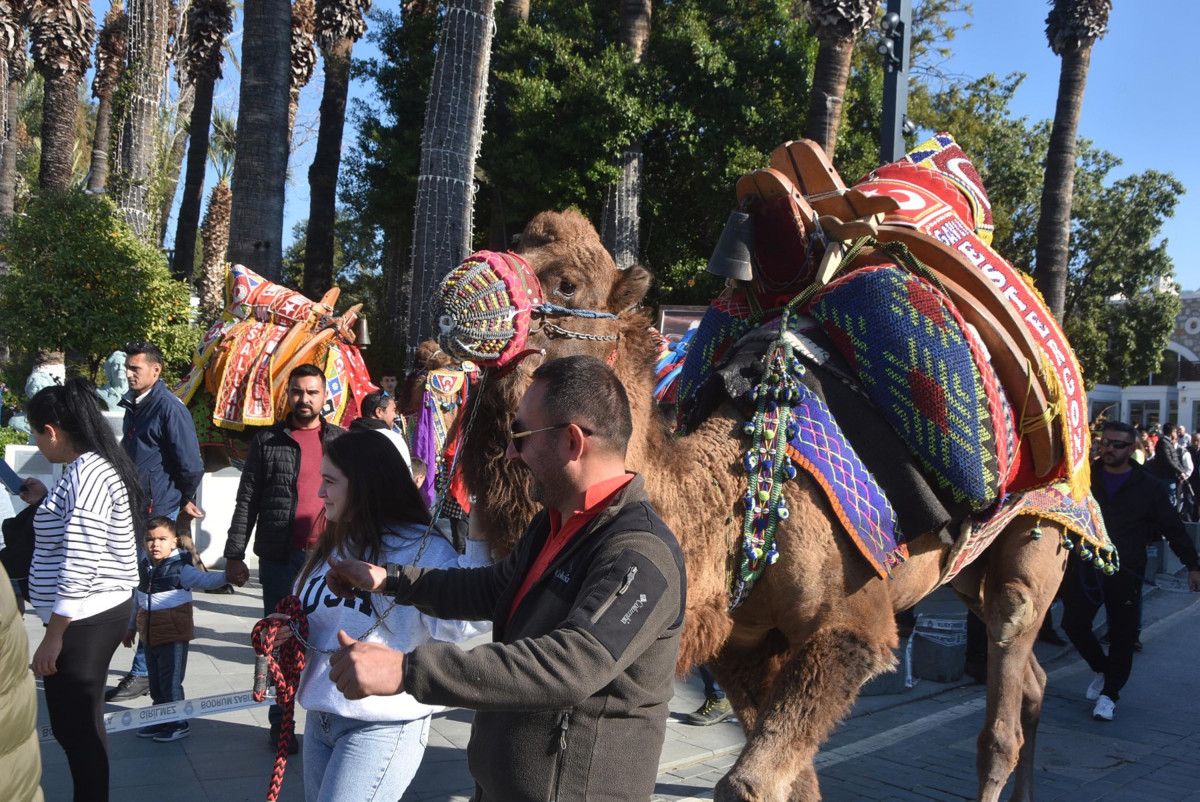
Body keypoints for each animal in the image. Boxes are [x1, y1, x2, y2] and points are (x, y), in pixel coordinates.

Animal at [446, 210, 1075, 797]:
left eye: (568, 283)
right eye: (516, 240)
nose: (456, 287)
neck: (739, 499)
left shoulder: (852, 627)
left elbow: (747, 783)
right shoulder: (741, 643)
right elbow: (798, 783)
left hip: (1036, 538)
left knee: (1008, 669)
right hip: (966, 577)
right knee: (1033, 678)